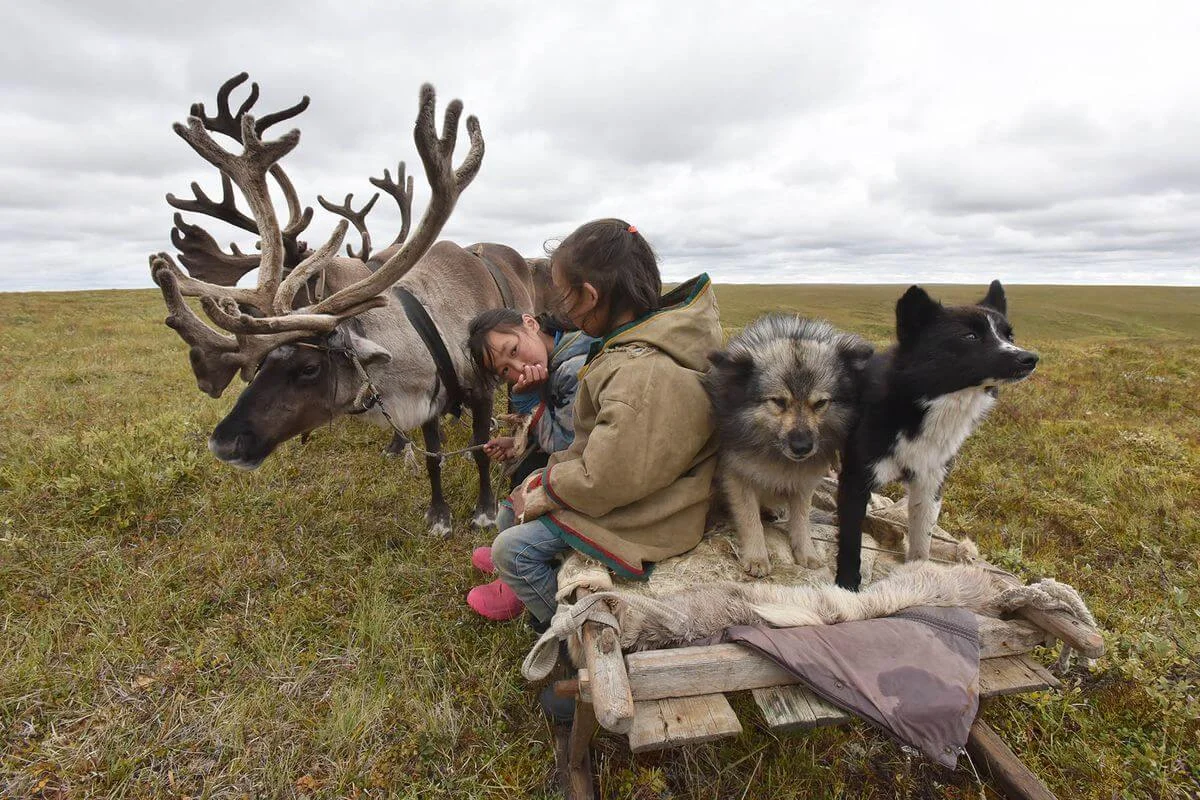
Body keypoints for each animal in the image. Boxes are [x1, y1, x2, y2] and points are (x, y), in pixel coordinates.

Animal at [700, 316, 873, 575]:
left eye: (820, 403)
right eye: (779, 402)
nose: (802, 447)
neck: (775, 453)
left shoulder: (803, 483)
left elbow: (801, 520)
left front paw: (806, 552)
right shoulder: (738, 478)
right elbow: (750, 520)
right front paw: (757, 557)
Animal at [835, 280, 1041, 587]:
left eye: (1009, 335)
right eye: (970, 336)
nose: (1030, 358)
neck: (921, 403)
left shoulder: (930, 481)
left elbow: (923, 540)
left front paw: (919, 578)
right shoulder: (855, 480)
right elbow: (851, 541)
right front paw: (847, 585)